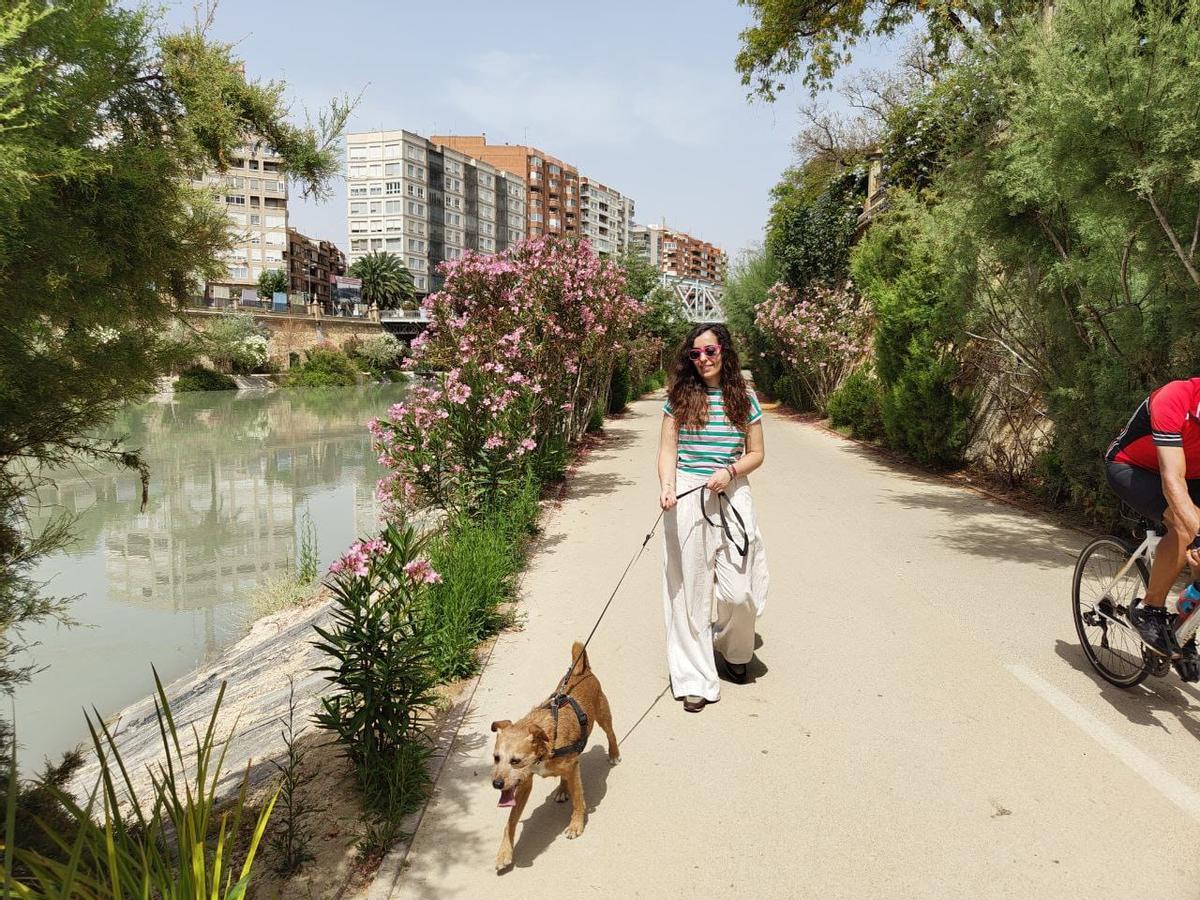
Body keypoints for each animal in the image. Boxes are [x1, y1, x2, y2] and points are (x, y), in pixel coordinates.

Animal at [487, 643, 619, 873]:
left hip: (603, 715)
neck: (545, 742)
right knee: (563, 777)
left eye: (515, 761)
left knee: (611, 734)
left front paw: (576, 825)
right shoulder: (525, 784)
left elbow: (579, 800)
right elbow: (510, 821)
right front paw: (504, 853)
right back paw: (562, 790)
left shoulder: (573, 768)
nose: (497, 784)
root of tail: (581, 671)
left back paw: (614, 754)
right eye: (496, 758)